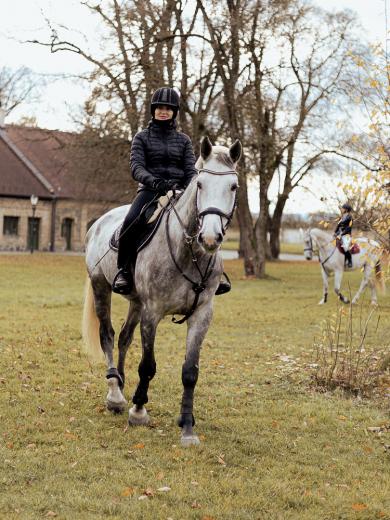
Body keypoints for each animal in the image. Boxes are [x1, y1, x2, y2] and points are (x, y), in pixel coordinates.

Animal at [82, 138, 241, 446]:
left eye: (233, 186)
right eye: (200, 184)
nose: (210, 238)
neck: (189, 254)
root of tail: (98, 222)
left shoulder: (202, 315)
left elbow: (190, 372)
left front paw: (187, 426)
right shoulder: (153, 312)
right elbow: (148, 365)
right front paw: (138, 411)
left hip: (135, 302)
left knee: (124, 338)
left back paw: (121, 384)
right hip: (100, 286)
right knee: (108, 335)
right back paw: (115, 394)